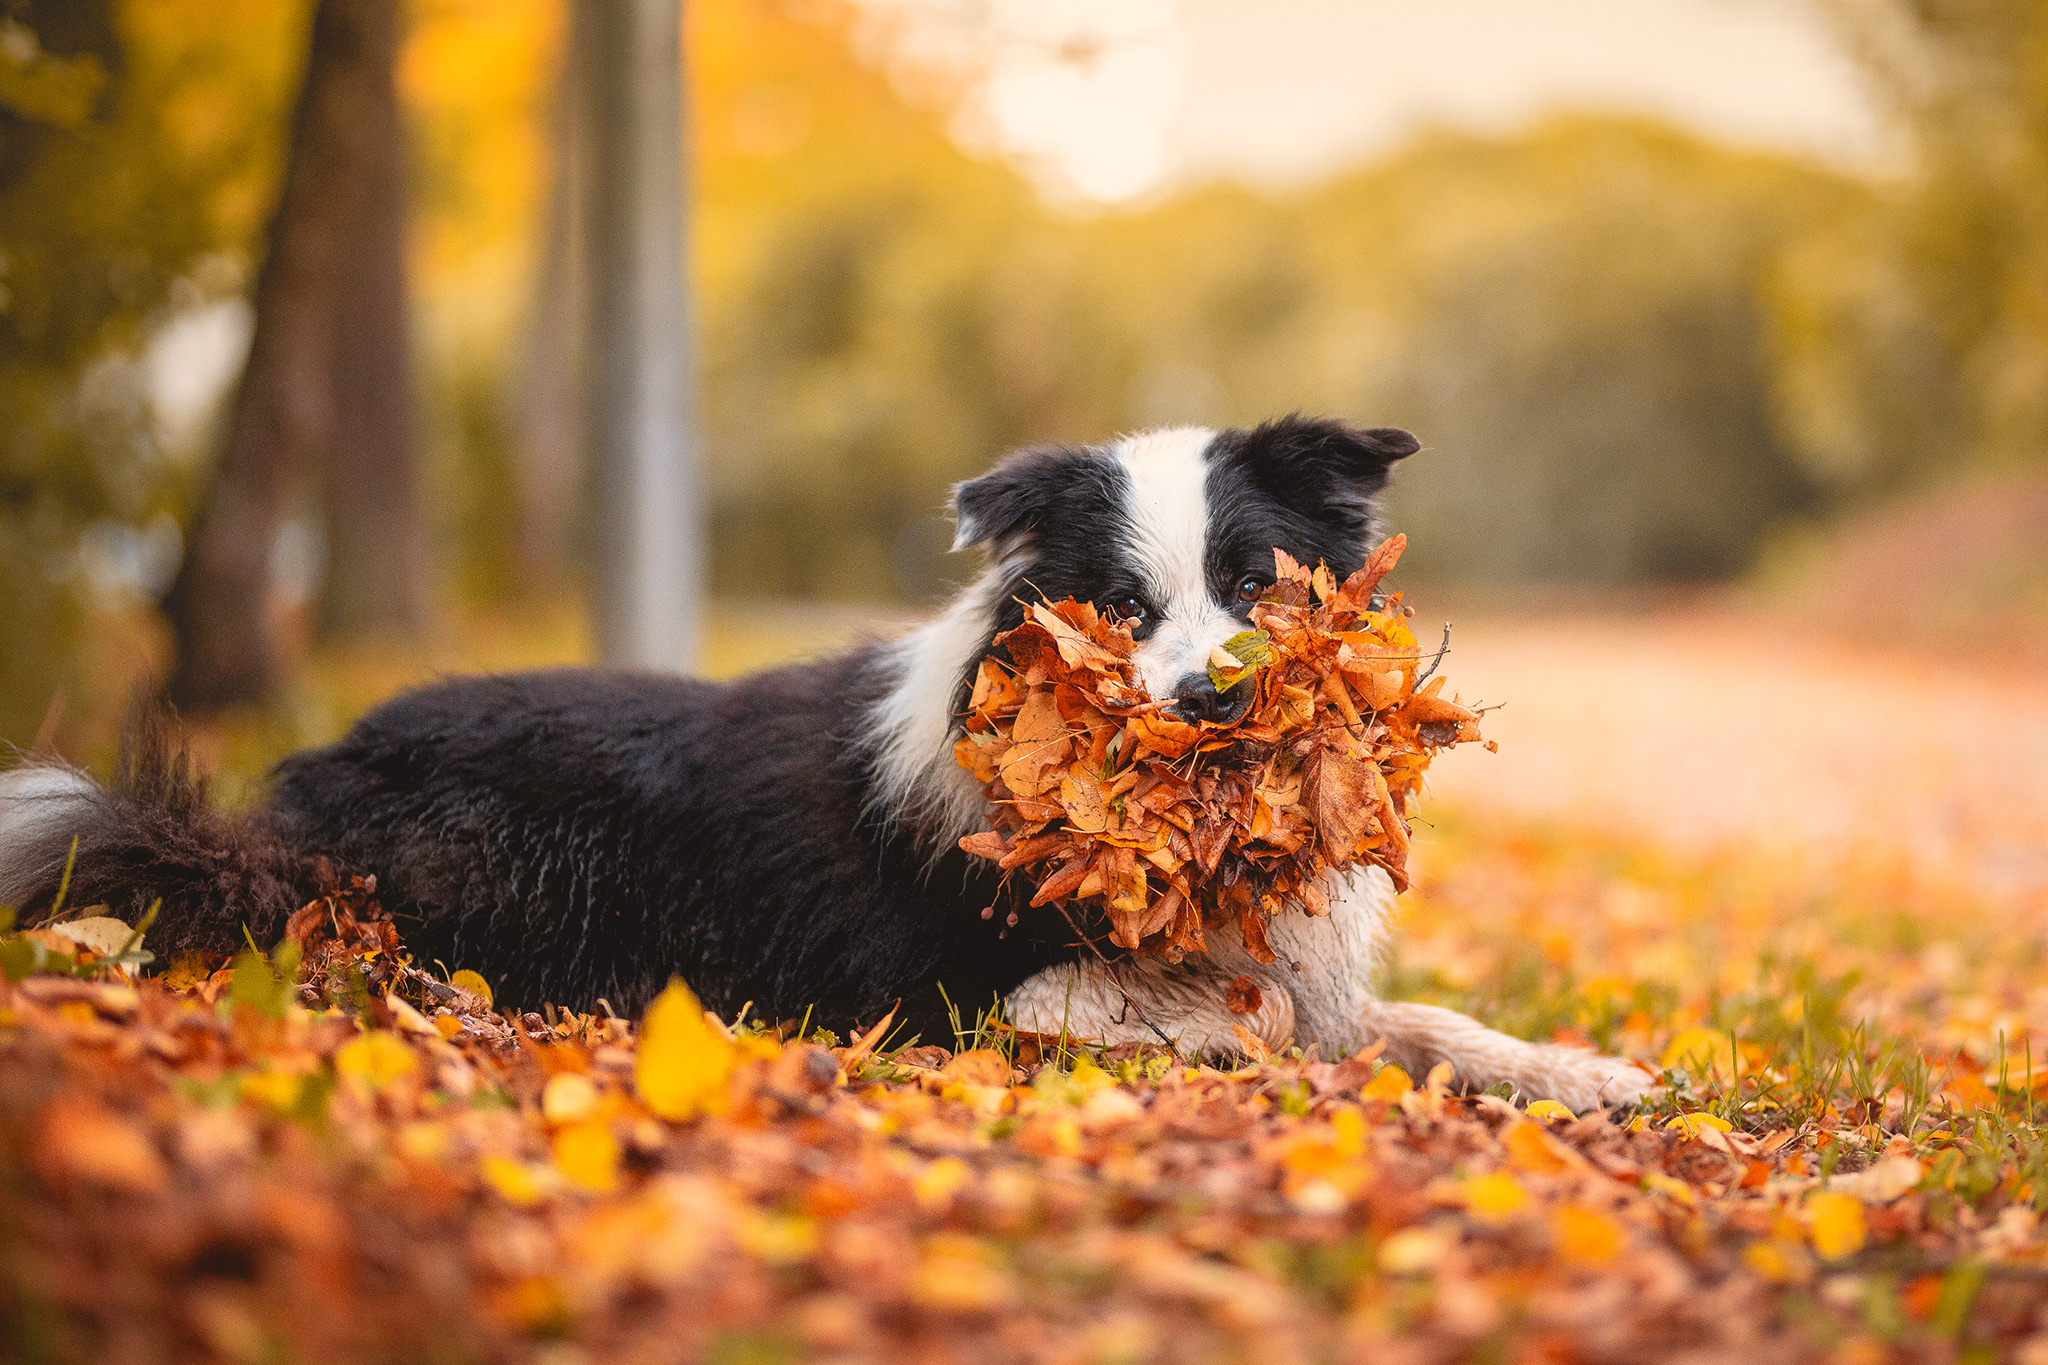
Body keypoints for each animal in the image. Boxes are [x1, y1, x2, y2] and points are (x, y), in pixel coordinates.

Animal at [0, 413, 1646, 1113]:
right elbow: (1232, 1019)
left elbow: (1416, 1022)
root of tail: (302, 791)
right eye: (1121, 610)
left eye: (1257, 586)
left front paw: (1587, 1071)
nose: (1210, 700)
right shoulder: (974, 990)